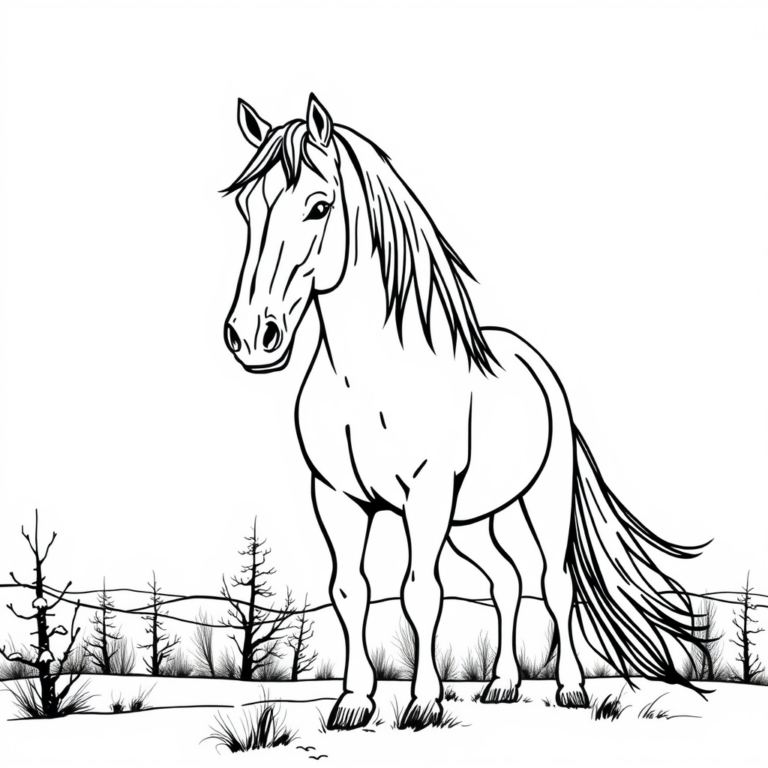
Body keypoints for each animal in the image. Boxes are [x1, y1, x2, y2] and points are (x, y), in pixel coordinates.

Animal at [221, 94, 708, 729]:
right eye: (247, 209)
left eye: (318, 207)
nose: (252, 337)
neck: (370, 376)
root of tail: (538, 363)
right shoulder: (336, 497)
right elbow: (350, 591)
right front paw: (353, 702)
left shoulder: (426, 495)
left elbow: (420, 592)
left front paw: (423, 701)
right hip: (473, 520)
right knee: (506, 581)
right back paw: (502, 685)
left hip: (539, 500)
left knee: (554, 583)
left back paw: (571, 689)